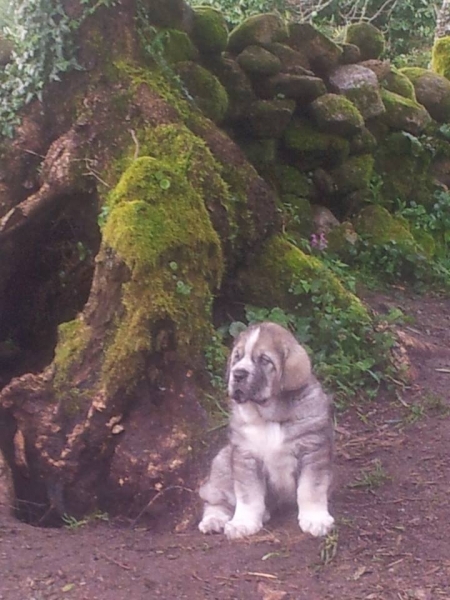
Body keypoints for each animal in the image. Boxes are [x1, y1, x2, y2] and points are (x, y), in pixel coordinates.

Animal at [198, 322, 334, 540]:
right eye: (237, 357)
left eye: (264, 360)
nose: (238, 374)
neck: (269, 417)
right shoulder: (245, 455)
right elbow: (248, 495)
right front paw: (243, 523)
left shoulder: (312, 450)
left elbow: (311, 489)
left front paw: (316, 519)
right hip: (222, 461)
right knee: (215, 501)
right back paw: (213, 521)